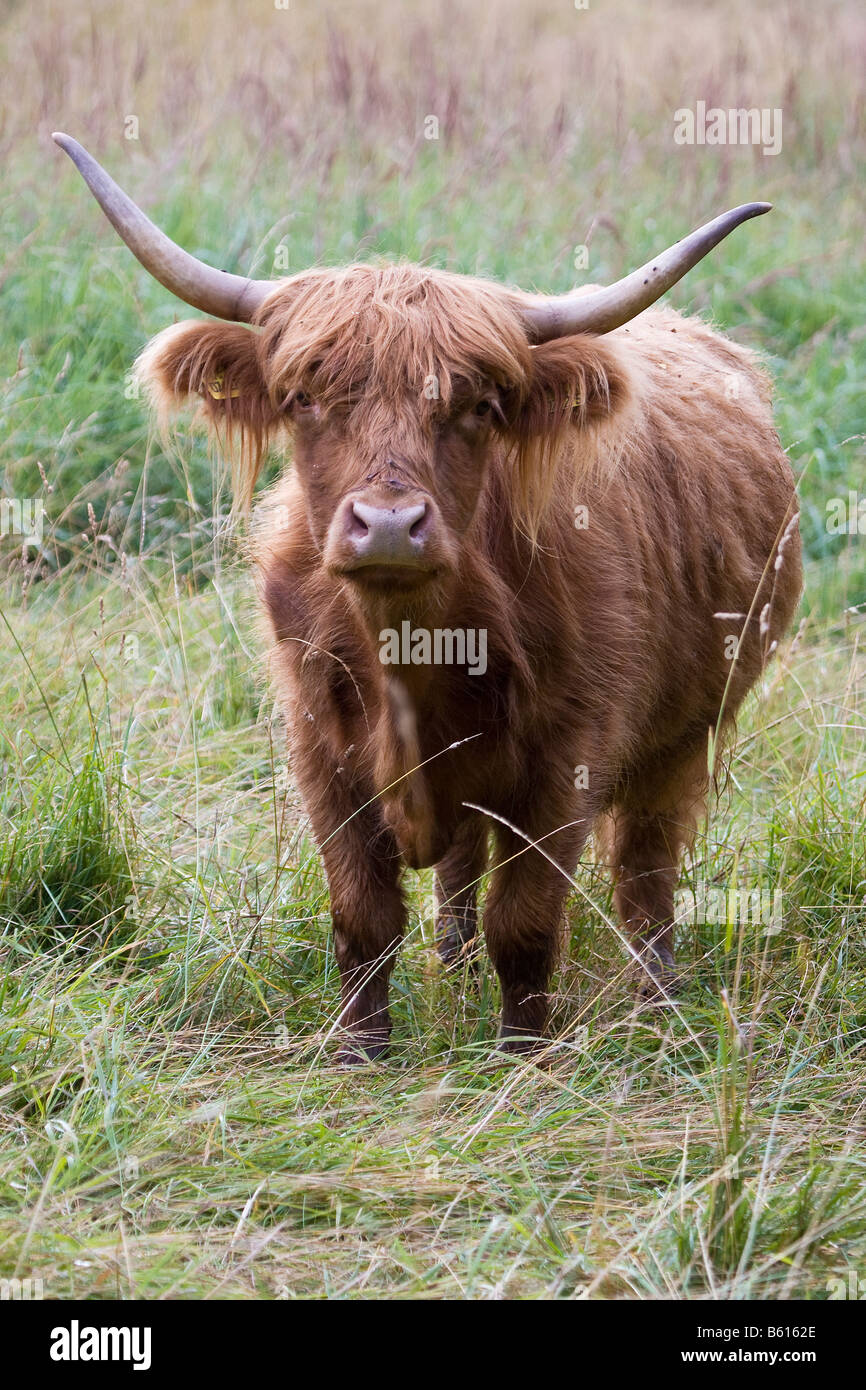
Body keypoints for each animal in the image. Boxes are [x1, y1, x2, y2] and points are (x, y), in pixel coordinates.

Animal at [54, 134, 802, 1062]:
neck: (414, 647)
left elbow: (527, 920)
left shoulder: (568, 754)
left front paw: (520, 1055)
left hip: (688, 729)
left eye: (480, 405)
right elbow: (362, 915)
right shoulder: (318, 745)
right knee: (461, 868)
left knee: (646, 866)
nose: (386, 525)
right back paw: (456, 966)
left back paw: (657, 998)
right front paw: (360, 1052)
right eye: (303, 398)